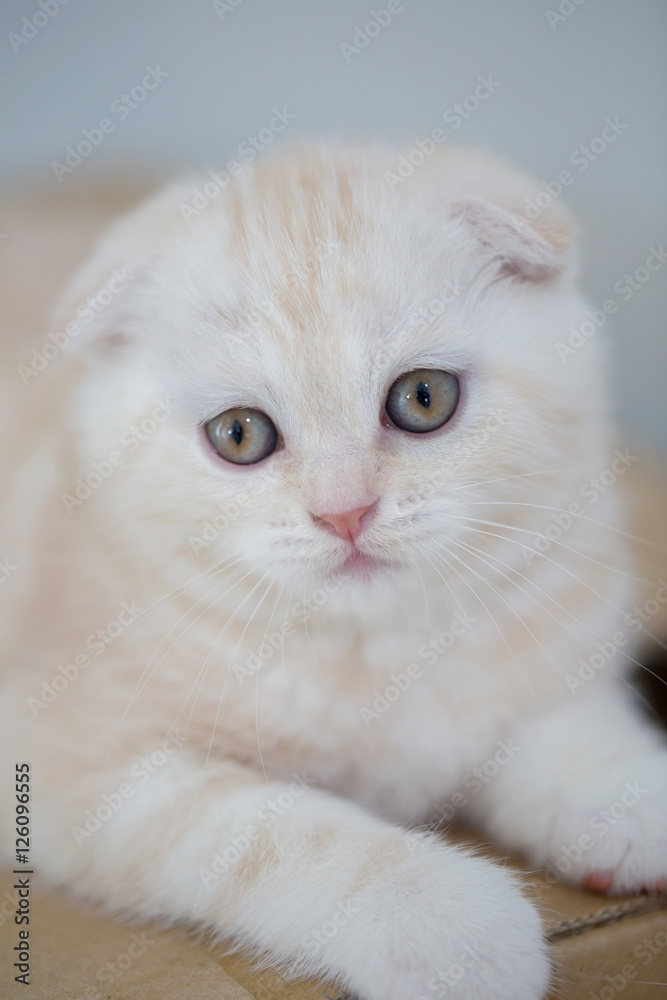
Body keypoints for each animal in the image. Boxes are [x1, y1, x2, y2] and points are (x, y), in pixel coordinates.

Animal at [1, 143, 667, 1000]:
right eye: (239, 434)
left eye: (423, 397)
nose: (345, 511)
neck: (372, 651)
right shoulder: (70, 762)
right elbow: (272, 834)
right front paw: (450, 926)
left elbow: (567, 726)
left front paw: (630, 798)